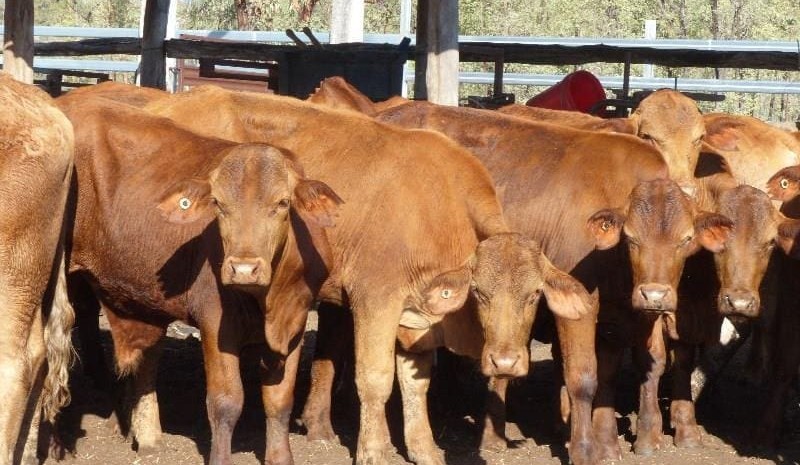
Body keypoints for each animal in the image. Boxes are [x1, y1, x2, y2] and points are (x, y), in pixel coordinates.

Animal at [55, 96, 342, 465]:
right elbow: (226, 402)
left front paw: (281, 457)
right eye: (218, 204)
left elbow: (279, 401)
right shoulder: (216, 322)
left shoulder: (295, 321)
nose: (243, 268)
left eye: (282, 202)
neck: (268, 299)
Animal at [143, 86, 593, 465]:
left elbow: (415, 384)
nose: (505, 361)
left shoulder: (419, 316)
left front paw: (423, 448)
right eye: (479, 293)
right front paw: (373, 450)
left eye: (534, 296)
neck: (436, 207)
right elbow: (376, 380)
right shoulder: (375, 300)